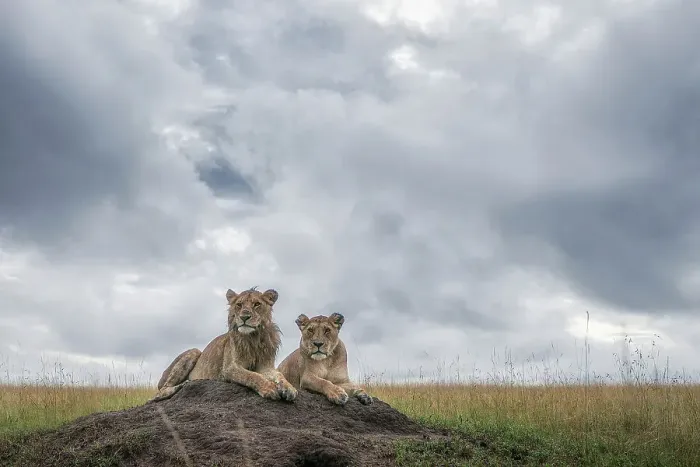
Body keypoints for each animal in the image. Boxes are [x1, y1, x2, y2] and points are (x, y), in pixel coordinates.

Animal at [148, 287, 297, 403]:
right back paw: (182, 385)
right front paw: (269, 388)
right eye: (239, 305)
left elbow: (279, 375)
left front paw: (290, 389)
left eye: (256, 304)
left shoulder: (266, 366)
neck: (253, 338)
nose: (244, 317)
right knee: (158, 394)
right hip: (194, 351)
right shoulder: (229, 368)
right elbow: (252, 376)